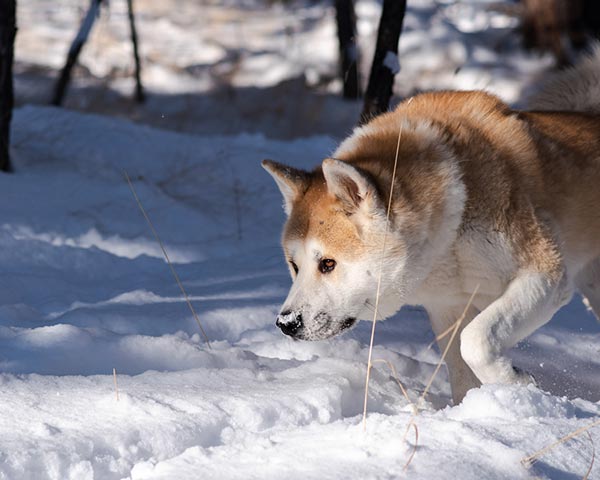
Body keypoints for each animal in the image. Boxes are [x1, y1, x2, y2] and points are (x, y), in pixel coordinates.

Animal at [262, 47, 600, 404]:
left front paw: (516, 384)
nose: (286, 323)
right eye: (294, 266)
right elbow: (462, 371)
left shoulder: (546, 275)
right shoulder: (447, 306)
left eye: (328, 264)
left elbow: (475, 342)